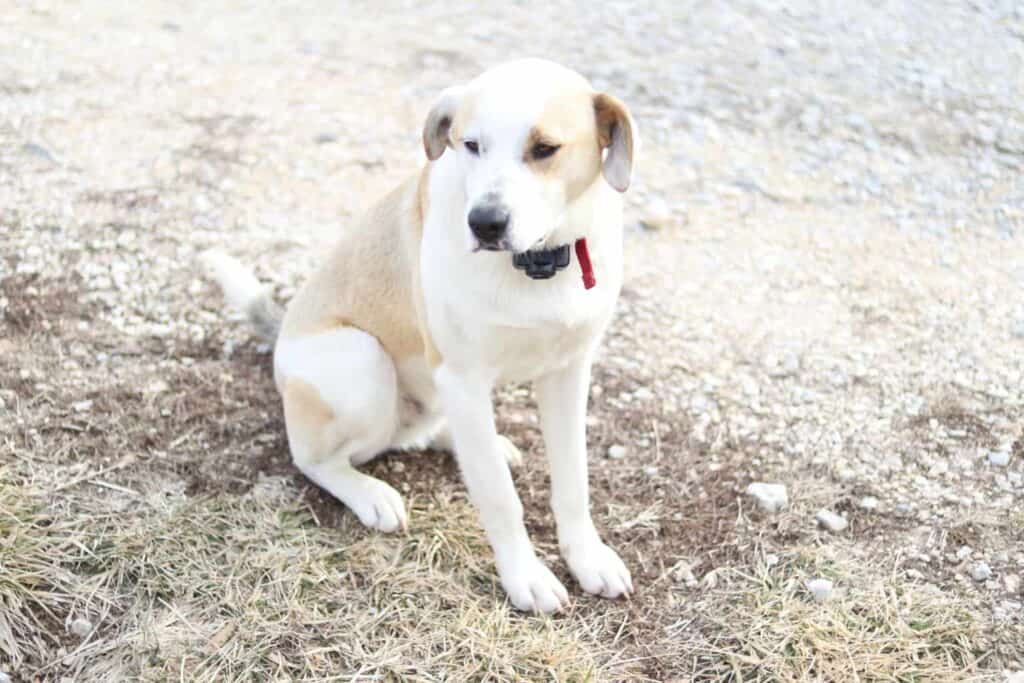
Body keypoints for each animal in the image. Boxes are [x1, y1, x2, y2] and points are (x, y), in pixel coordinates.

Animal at [204, 60, 638, 614]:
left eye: (545, 148)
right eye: (471, 144)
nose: (485, 224)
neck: (537, 263)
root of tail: (282, 338)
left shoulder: (569, 372)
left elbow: (573, 481)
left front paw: (587, 558)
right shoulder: (463, 379)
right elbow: (499, 497)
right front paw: (525, 576)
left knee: (429, 433)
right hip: (362, 362)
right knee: (314, 459)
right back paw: (370, 493)